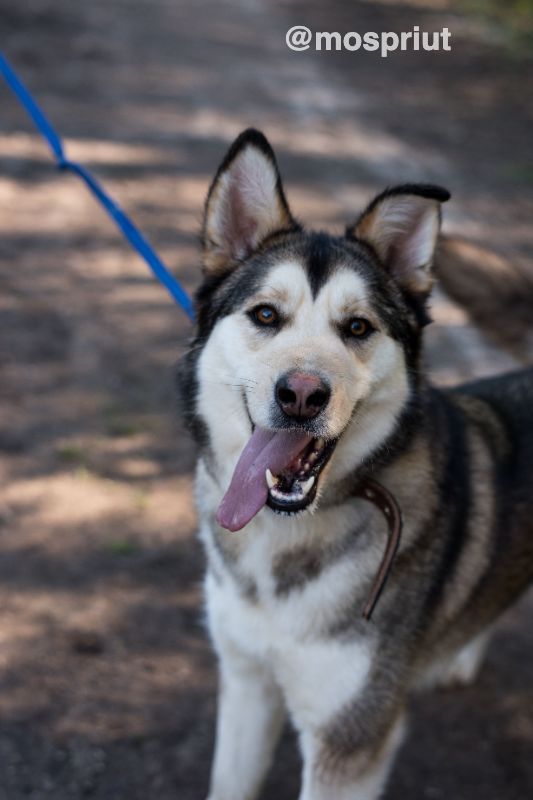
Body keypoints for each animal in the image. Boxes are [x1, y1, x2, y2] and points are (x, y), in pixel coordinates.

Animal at [179, 128, 532, 796]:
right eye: (266, 315)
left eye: (358, 327)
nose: (301, 395)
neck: (282, 537)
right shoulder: (246, 683)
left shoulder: (349, 740)